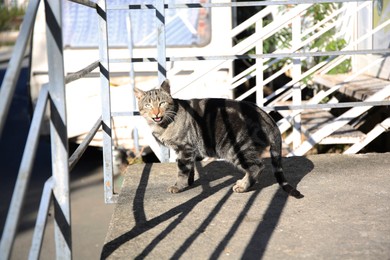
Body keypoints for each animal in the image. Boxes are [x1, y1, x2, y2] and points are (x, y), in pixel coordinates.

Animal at [136, 80, 304, 198]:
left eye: (162, 103)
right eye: (148, 105)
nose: (156, 113)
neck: (163, 125)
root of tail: (266, 115)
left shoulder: (185, 148)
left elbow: (182, 170)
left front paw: (179, 186)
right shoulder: (189, 150)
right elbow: (189, 168)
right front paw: (189, 182)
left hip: (235, 149)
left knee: (257, 166)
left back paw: (243, 187)